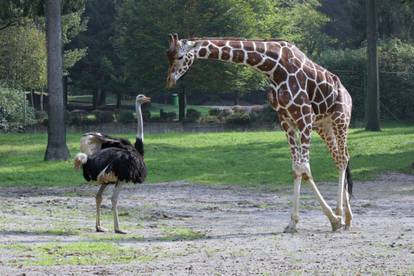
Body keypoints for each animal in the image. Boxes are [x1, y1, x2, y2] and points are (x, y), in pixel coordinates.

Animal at [167, 33, 354, 232]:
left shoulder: (304, 116)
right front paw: (293, 223)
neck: (274, 68)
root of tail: (348, 94)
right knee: (339, 158)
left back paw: (341, 215)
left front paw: (333, 220)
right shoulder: (286, 119)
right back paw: (346, 217)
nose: (169, 80)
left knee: (343, 159)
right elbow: (296, 169)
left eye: (180, 56)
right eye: (167, 56)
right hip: (323, 125)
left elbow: (304, 168)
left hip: (340, 119)